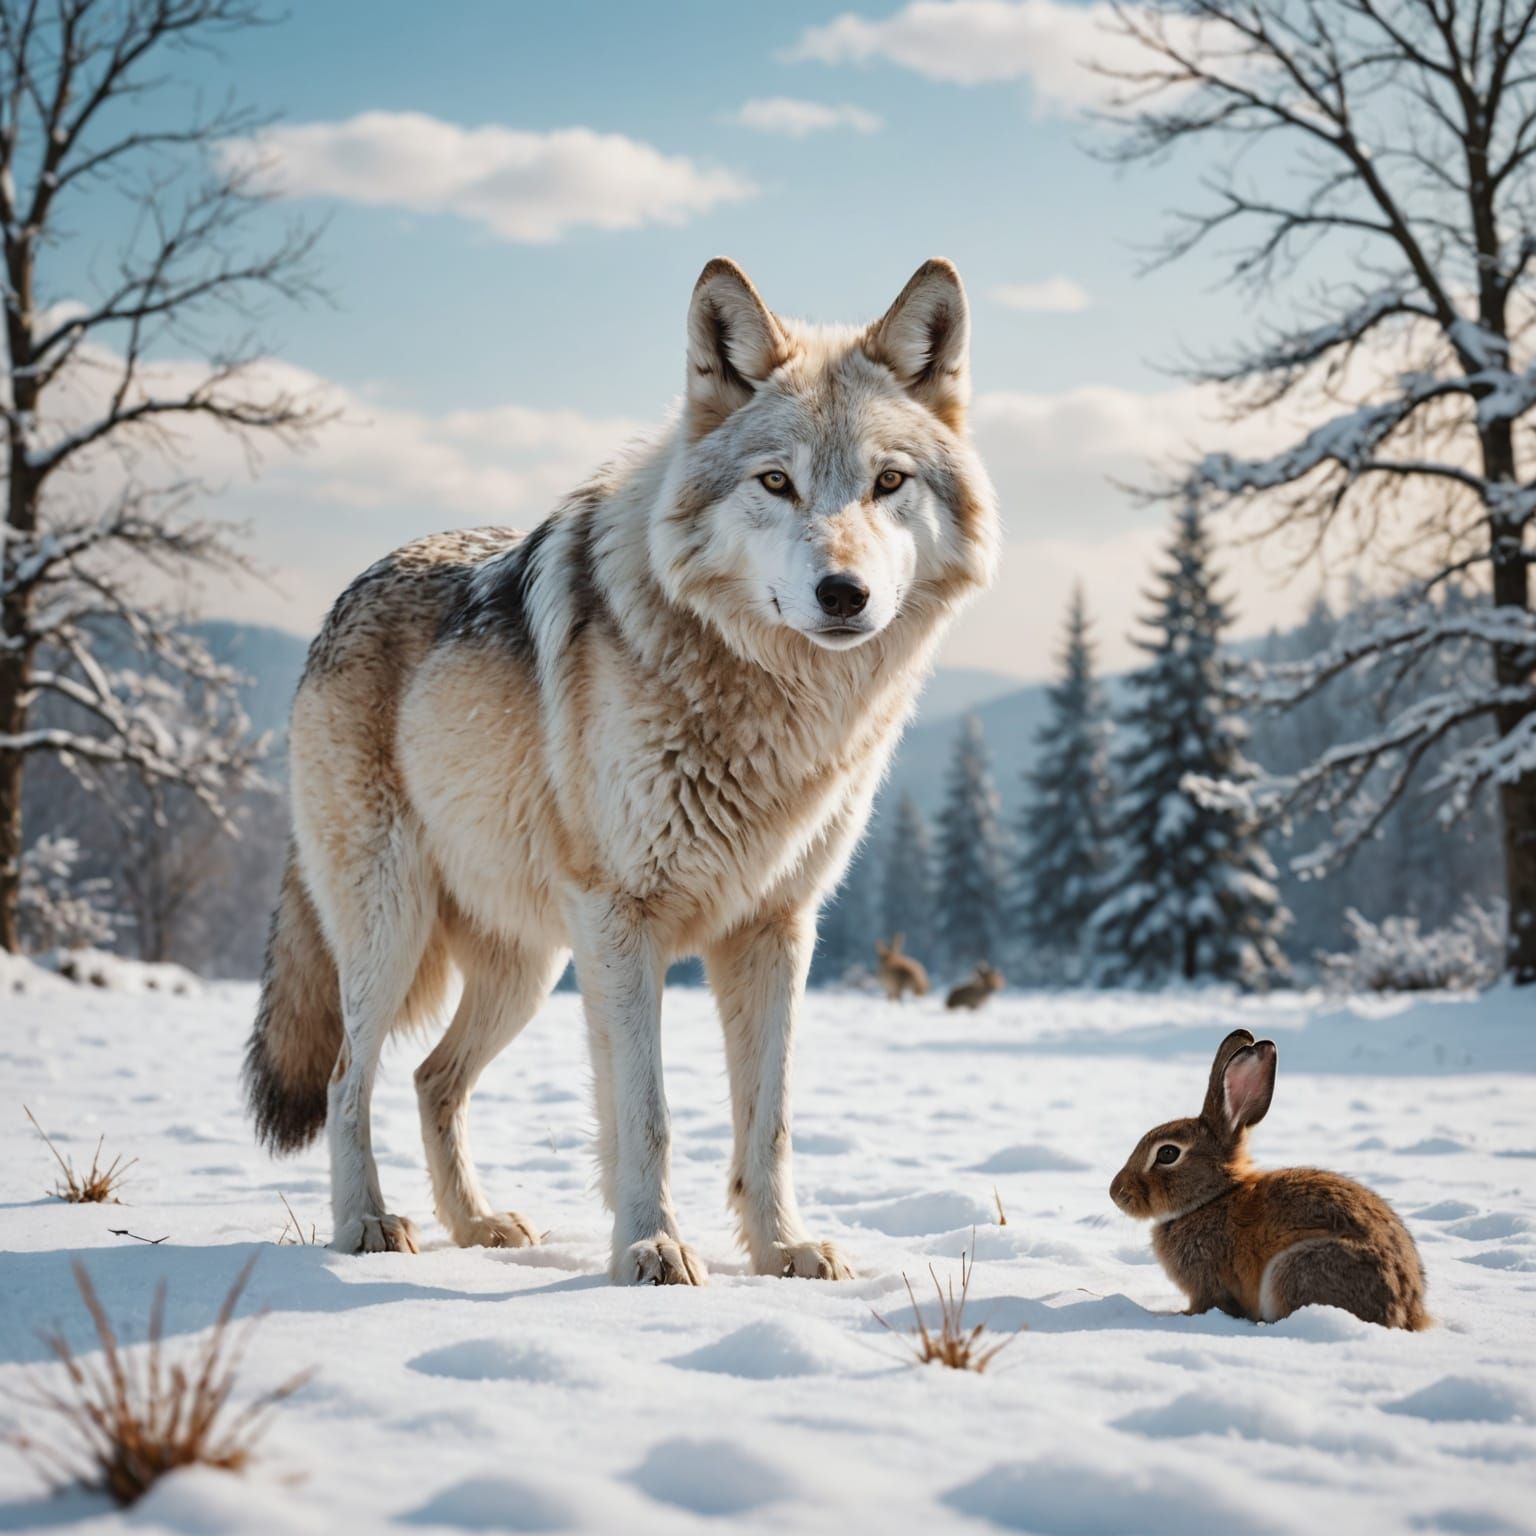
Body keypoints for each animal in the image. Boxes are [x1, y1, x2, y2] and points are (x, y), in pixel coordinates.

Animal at [244, 257, 998, 1284]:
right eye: (777, 482)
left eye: (889, 482)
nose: (844, 593)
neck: (773, 708)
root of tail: (348, 592)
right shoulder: (621, 922)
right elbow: (649, 1115)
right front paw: (651, 1246)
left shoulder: (775, 930)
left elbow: (769, 1118)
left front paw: (782, 1248)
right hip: (396, 932)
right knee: (344, 1079)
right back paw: (366, 1223)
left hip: (528, 967)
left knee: (433, 1077)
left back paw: (477, 1224)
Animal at [1110, 1028, 1429, 1331]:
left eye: (1167, 1153)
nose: (1116, 1193)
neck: (1211, 1199)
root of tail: (1406, 1308)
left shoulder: (1208, 1284)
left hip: (1297, 1268)